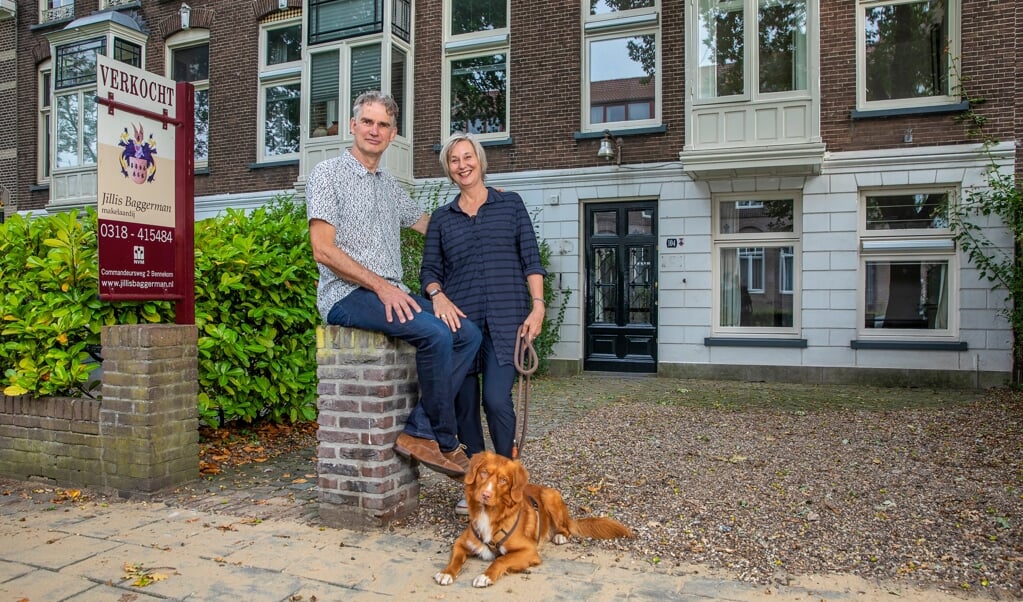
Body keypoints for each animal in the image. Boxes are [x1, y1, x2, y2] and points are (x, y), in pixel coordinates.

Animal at [431, 450, 630, 589]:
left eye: (503, 480)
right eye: (484, 472)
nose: (485, 495)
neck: (491, 514)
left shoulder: (529, 551)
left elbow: (500, 560)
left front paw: (485, 576)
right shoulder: (461, 543)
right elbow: (455, 559)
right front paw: (446, 573)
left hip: (550, 496)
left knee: (565, 527)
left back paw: (560, 536)